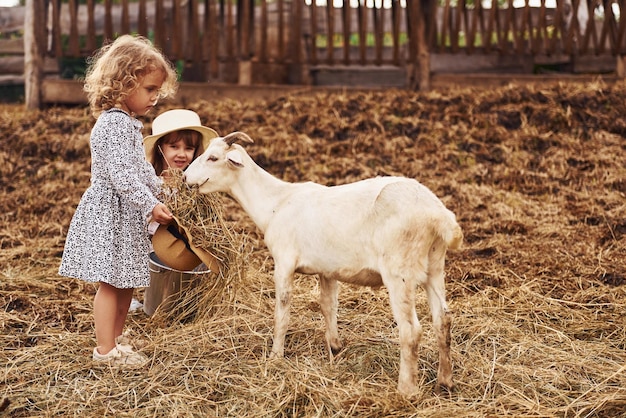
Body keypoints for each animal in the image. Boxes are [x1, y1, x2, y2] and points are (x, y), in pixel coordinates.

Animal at [183, 132, 460, 396]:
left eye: (213, 158)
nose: (185, 177)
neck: (276, 203)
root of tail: (440, 216)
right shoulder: (328, 270)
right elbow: (328, 305)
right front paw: (334, 346)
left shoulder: (284, 262)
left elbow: (282, 311)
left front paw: (275, 357)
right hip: (435, 267)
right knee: (443, 321)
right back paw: (444, 382)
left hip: (399, 272)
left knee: (411, 331)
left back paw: (406, 390)